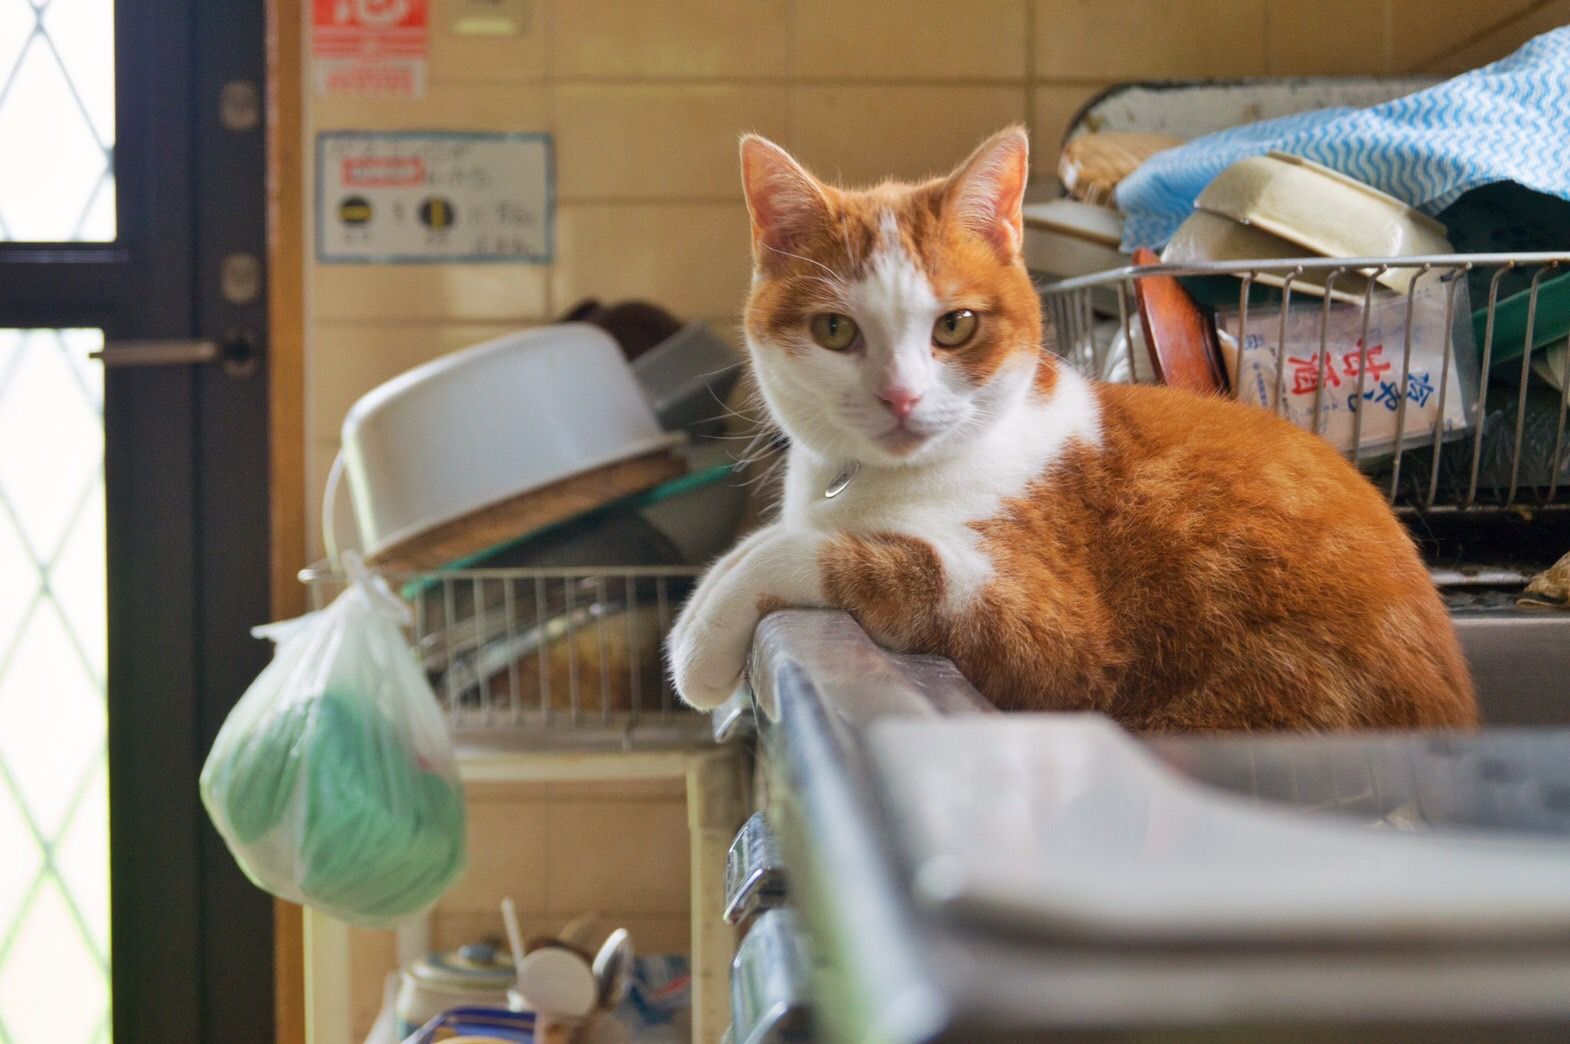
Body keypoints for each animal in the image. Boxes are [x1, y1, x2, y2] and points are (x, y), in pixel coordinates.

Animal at [668, 126, 1475, 728]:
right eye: (835, 330)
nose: (901, 396)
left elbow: (842, 555)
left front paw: (706, 638)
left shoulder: (1053, 633)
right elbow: (769, 540)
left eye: (954, 325)